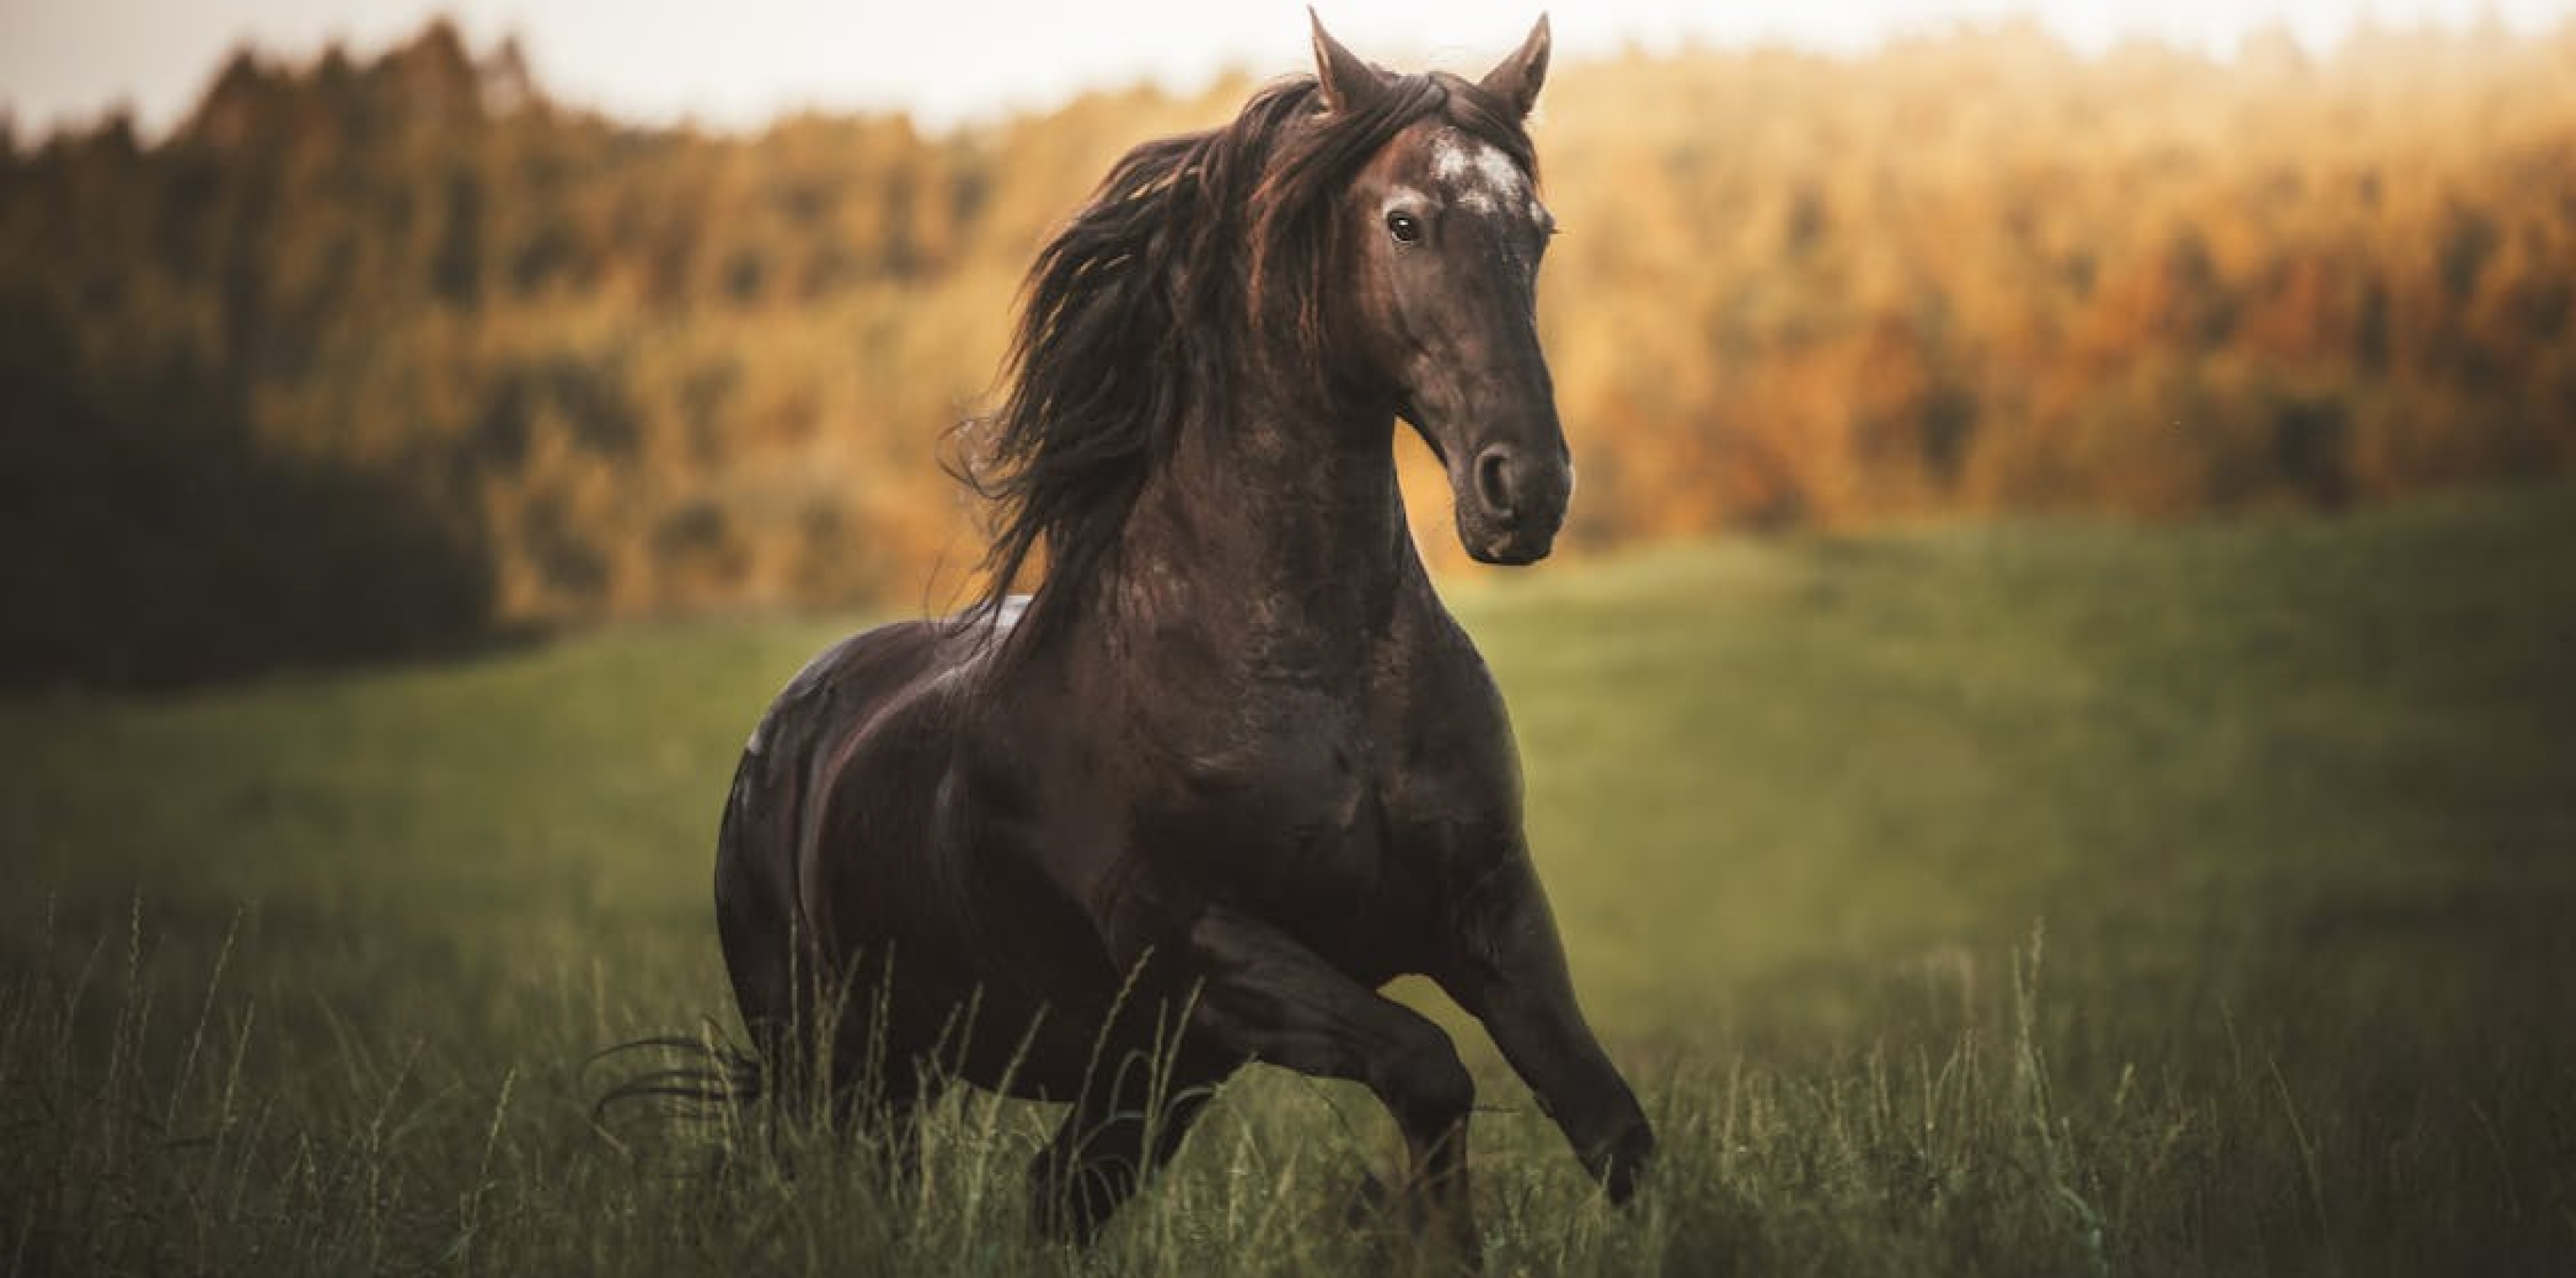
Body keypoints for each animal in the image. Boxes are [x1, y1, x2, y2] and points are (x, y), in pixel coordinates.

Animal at [712, 13, 1654, 1258]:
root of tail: (786, 726)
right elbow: (1431, 1069)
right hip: (835, 1059)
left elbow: (1609, 1123)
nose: (1527, 488)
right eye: (1405, 221)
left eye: (1536, 231)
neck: (1314, 674)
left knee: (1053, 1194)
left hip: (1129, 1081)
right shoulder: (1205, 949)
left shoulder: (1490, 912)